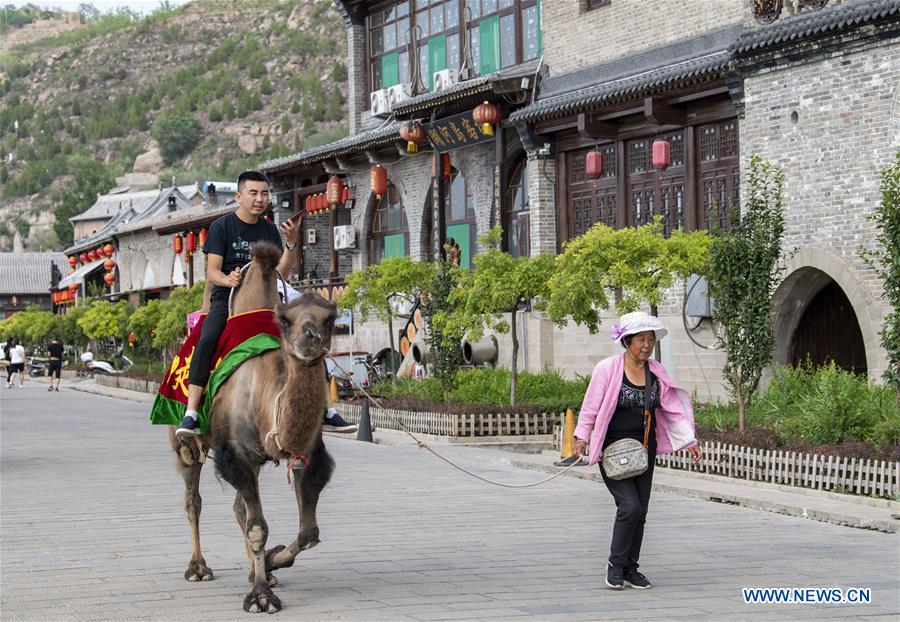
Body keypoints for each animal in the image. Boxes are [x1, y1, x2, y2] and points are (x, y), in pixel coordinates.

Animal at [168, 243, 338, 616]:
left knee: (238, 507)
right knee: (193, 499)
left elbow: (309, 533)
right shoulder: (236, 453)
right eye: (285, 320)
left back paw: (253, 570)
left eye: (329, 318)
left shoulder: (305, 453)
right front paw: (261, 597)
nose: (311, 338)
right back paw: (198, 568)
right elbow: (258, 527)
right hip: (184, 444)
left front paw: (272, 564)